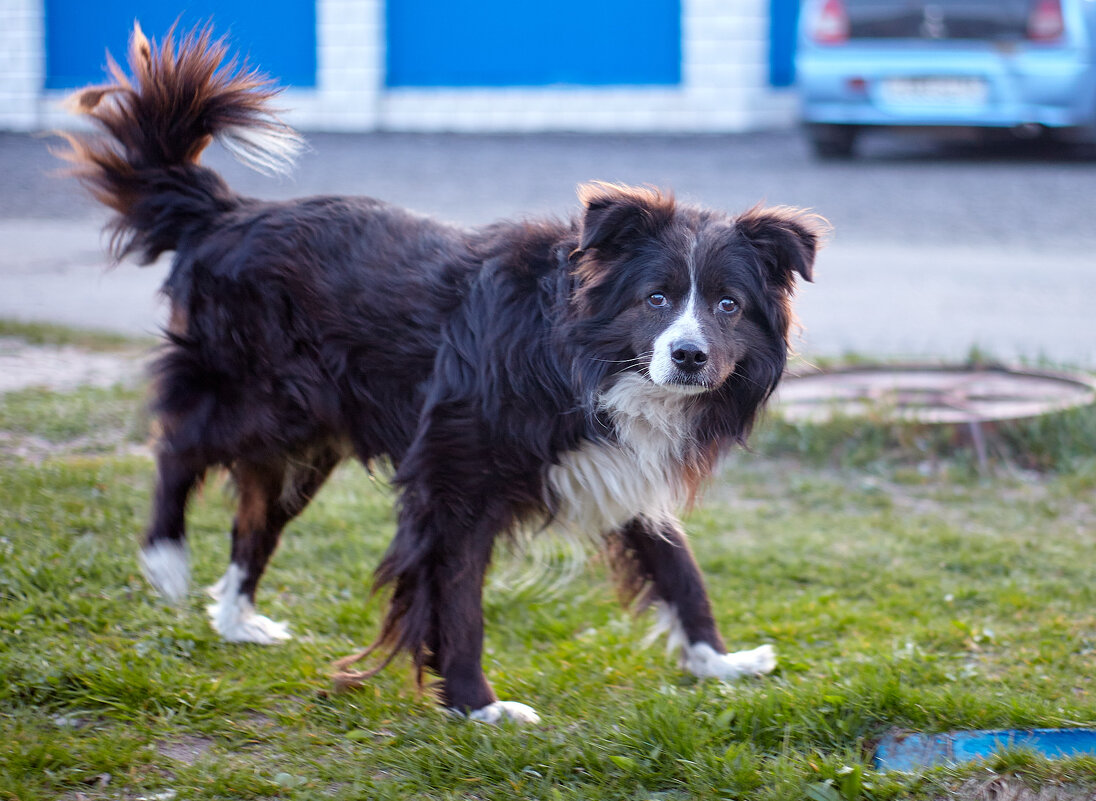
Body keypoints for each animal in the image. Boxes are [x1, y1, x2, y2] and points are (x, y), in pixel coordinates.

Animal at [62, 25, 824, 727]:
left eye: (728, 305)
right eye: (656, 299)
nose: (690, 357)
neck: (583, 358)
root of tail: (227, 212)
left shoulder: (618, 462)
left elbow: (678, 567)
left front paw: (720, 662)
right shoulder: (456, 474)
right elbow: (456, 594)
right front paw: (478, 706)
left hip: (311, 438)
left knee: (256, 514)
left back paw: (238, 617)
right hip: (269, 397)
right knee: (182, 441)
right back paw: (166, 558)